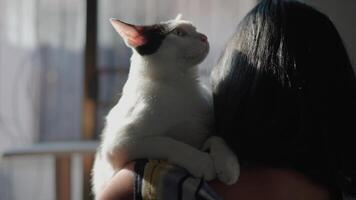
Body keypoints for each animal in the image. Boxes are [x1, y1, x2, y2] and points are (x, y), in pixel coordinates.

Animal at [91, 15, 239, 197]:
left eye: (196, 29)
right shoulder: (119, 144)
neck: (181, 86)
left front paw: (229, 164)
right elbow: (169, 143)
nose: (204, 37)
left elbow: (217, 137)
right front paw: (202, 162)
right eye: (178, 33)